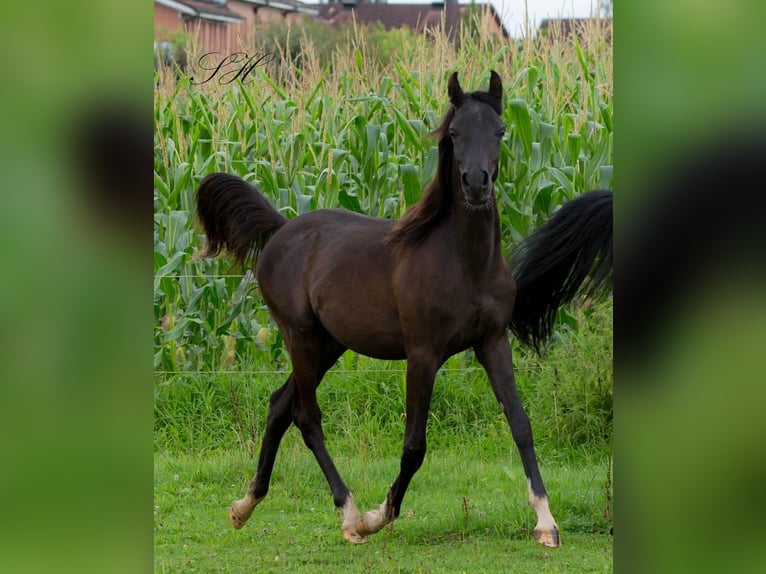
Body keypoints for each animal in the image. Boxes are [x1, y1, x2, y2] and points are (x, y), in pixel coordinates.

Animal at [195, 72, 616, 548]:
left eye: (500, 131)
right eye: (454, 133)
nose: (475, 184)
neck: (463, 263)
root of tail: (283, 230)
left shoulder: (493, 342)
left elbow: (521, 424)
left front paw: (546, 522)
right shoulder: (422, 355)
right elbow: (415, 445)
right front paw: (379, 516)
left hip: (329, 344)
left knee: (279, 405)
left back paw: (244, 507)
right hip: (299, 337)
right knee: (307, 416)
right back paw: (350, 516)